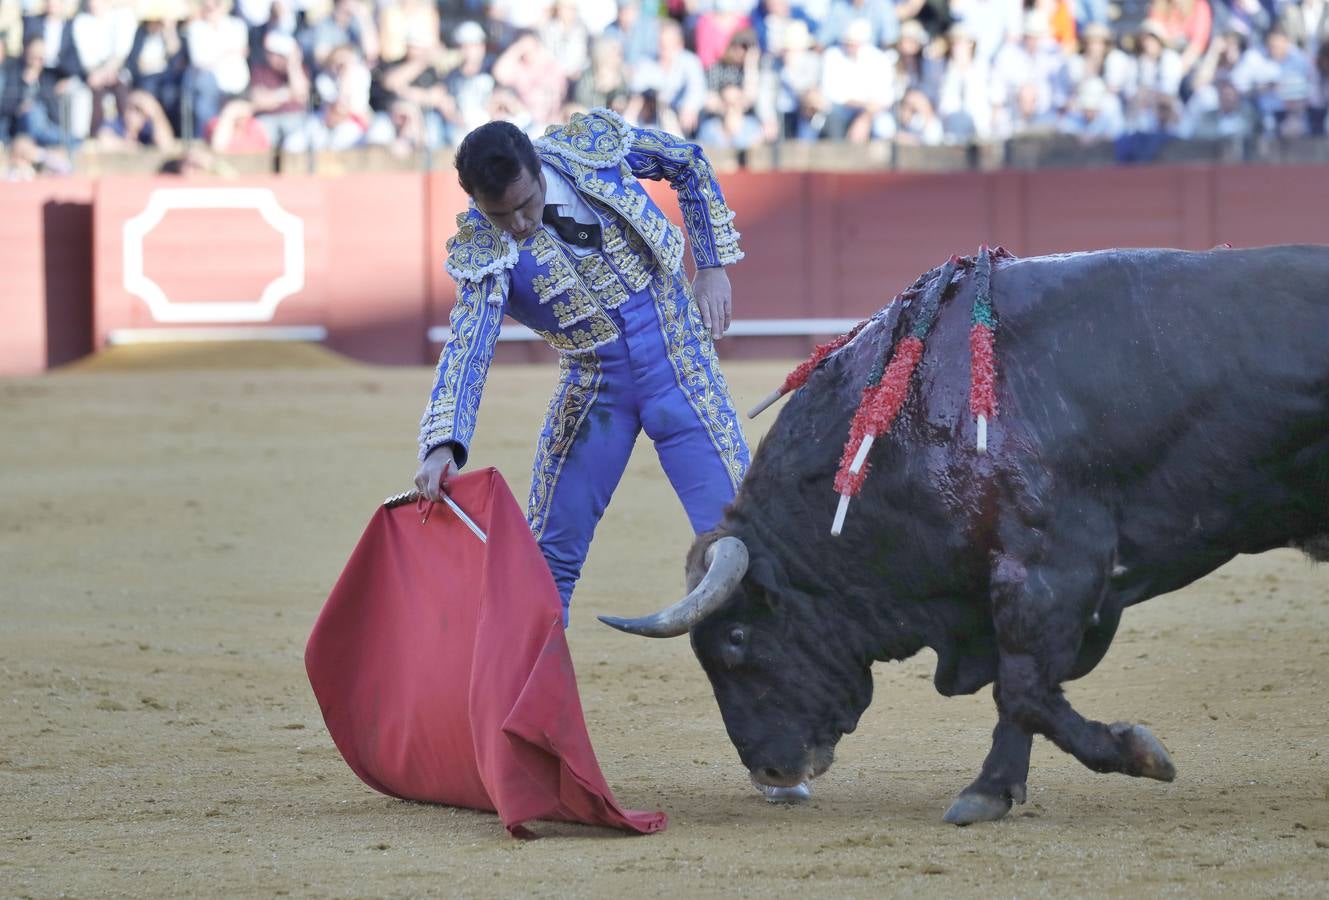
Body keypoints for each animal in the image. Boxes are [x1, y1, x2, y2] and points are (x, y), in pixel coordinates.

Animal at [600, 244, 1329, 818]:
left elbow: (1024, 688)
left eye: (737, 640)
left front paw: (1137, 754)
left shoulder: (1049, 569)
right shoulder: (1016, 584)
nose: (770, 770)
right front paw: (991, 791)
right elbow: (1020, 689)